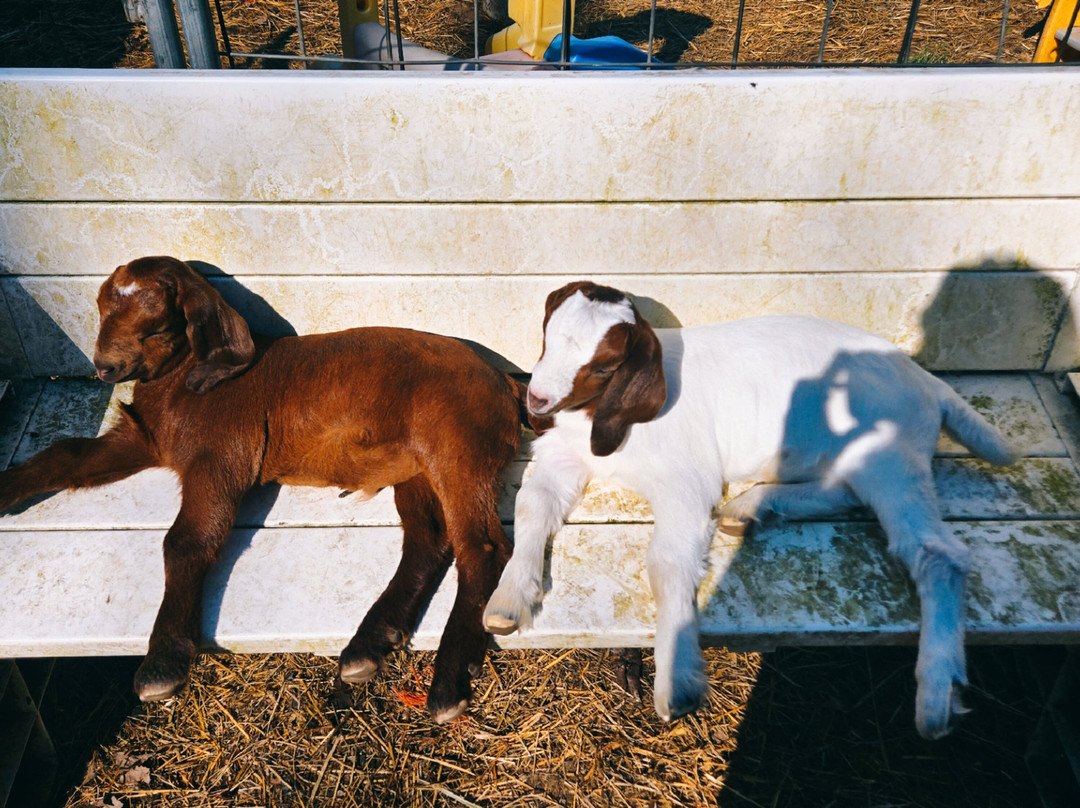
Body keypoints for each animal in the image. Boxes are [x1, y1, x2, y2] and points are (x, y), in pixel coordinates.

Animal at [0, 256, 525, 723]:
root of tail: (503, 381)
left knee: (482, 545)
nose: (105, 368)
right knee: (429, 540)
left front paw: (163, 662)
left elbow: (186, 540)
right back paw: (370, 644)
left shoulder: (223, 453)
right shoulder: (143, 439)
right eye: (103, 306)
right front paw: (8, 489)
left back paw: (449, 679)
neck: (181, 381)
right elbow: (65, 454)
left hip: (456, 443)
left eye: (157, 326)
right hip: (413, 467)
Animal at [482, 280, 1017, 739]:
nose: (538, 400)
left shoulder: (686, 480)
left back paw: (937, 694)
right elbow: (531, 507)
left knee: (936, 553)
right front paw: (507, 600)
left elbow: (667, 561)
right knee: (844, 491)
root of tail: (929, 383)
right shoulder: (563, 455)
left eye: (602, 366)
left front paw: (677, 680)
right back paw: (753, 506)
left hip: (891, 458)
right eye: (547, 336)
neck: (603, 419)